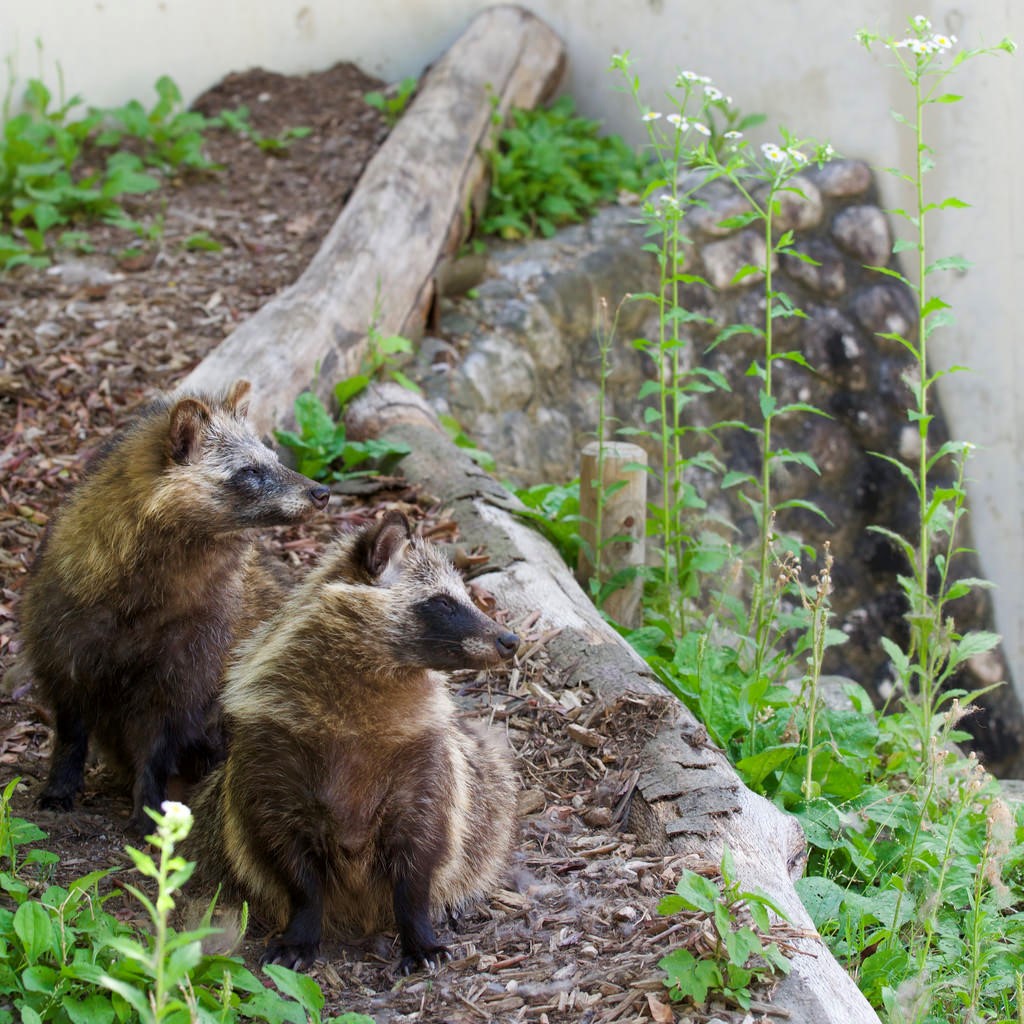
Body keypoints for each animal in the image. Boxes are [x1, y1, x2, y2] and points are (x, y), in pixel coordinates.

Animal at [20, 380, 327, 835]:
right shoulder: (61, 625)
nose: (321, 492)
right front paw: (61, 781)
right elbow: (71, 721)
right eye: (250, 472)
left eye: (274, 459)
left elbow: (161, 733)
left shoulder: (199, 645)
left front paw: (148, 803)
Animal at [185, 507, 520, 970]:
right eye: (443, 603)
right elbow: (285, 854)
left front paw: (417, 928)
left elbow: (425, 850)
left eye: (466, 599)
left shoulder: (428, 759)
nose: (510, 640)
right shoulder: (269, 751)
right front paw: (304, 923)